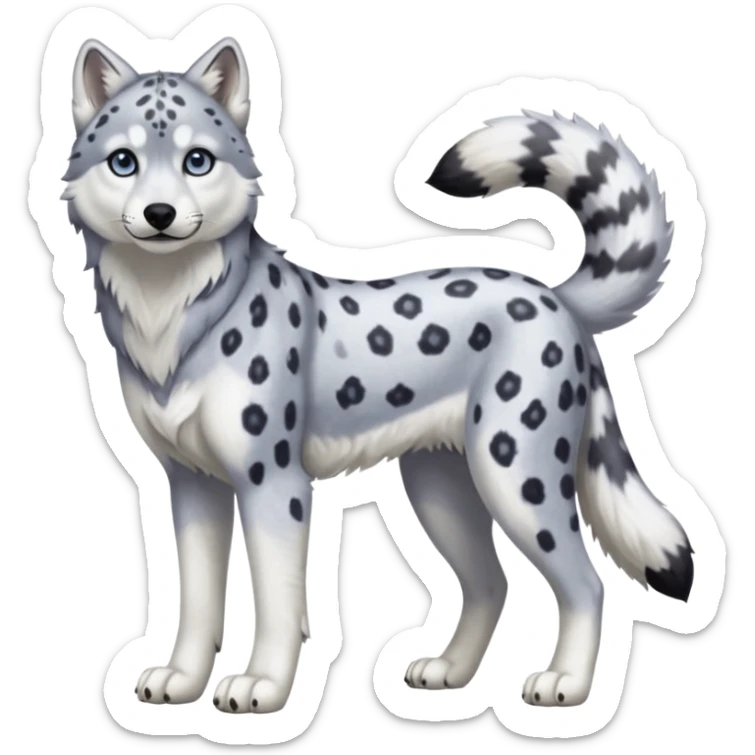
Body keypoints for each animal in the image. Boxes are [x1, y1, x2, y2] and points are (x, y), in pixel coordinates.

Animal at [59, 36, 693, 713]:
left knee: (585, 582)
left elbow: (277, 598)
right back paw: (449, 671)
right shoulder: (191, 482)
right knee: (490, 583)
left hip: (516, 477)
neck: (170, 314)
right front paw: (181, 678)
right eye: (123, 161)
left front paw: (263, 685)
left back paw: (566, 683)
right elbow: (198, 599)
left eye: (197, 160)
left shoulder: (272, 481)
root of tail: (553, 294)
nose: (160, 213)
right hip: (441, 488)